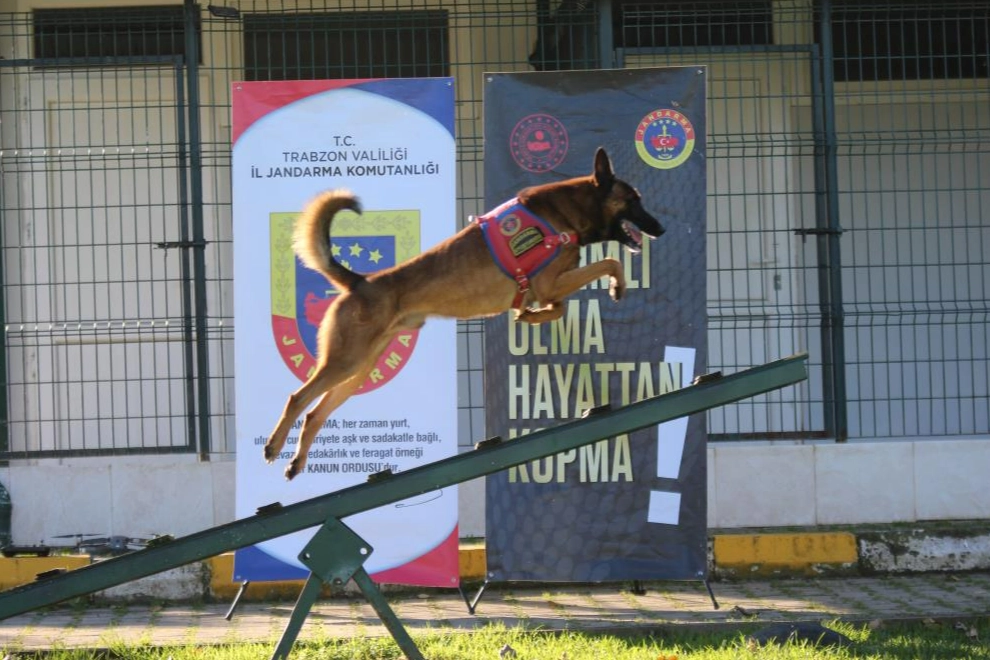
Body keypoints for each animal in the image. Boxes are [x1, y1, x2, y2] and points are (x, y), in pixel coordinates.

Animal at [268, 148, 664, 480]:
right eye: (633, 200)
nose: (660, 229)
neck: (565, 213)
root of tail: (359, 281)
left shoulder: (549, 287)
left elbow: (559, 306)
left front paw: (529, 316)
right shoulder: (551, 282)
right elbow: (610, 262)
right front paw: (615, 286)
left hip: (359, 369)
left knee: (314, 413)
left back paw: (296, 462)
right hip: (345, 360)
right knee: (297, 398)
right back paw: (273, 447)